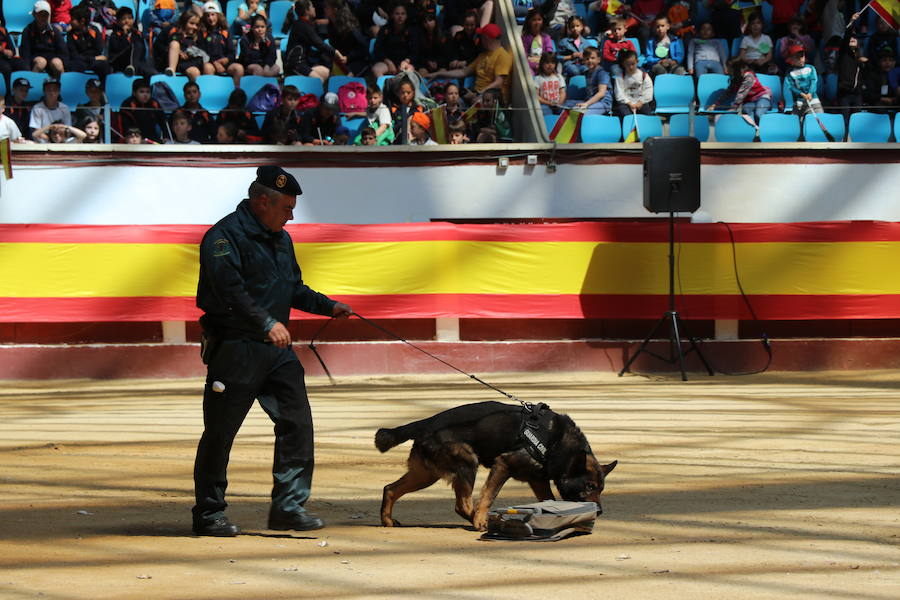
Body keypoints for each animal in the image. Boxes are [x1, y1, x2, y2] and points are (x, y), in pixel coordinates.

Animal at [374, 404, 620, 528]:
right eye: (589, 486)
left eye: (601, 488)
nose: (600, 511)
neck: (558, 443)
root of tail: (425, 423)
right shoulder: (503, 464)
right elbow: (488, 496)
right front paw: (481, 517)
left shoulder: (538, 480)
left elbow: (547, 498)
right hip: (467, 463)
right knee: (462, 505)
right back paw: (480, 520)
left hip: (426, 475)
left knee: (390, 489)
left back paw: (387, 520)